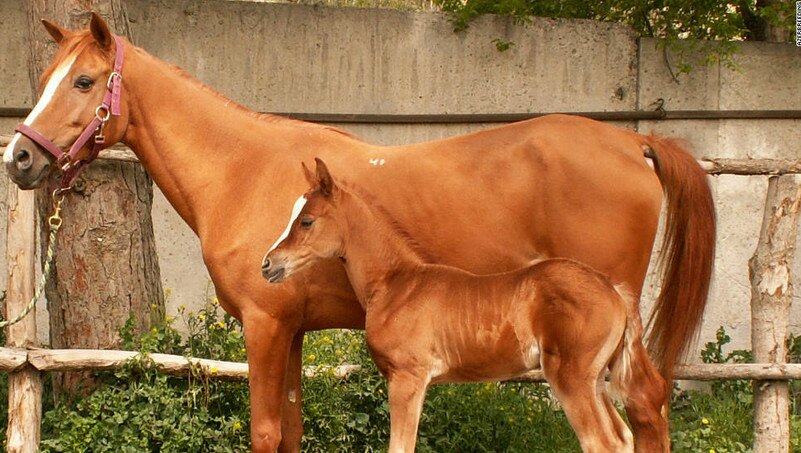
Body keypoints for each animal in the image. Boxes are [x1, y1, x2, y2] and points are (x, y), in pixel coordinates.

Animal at [263, 157, 664, 453]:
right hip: (596, 380)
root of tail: (613, 290)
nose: (267, 264)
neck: (397, 283)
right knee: (624, 438)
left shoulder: (407, 378)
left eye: (306, 221)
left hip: (571, 379)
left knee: (602, 443)